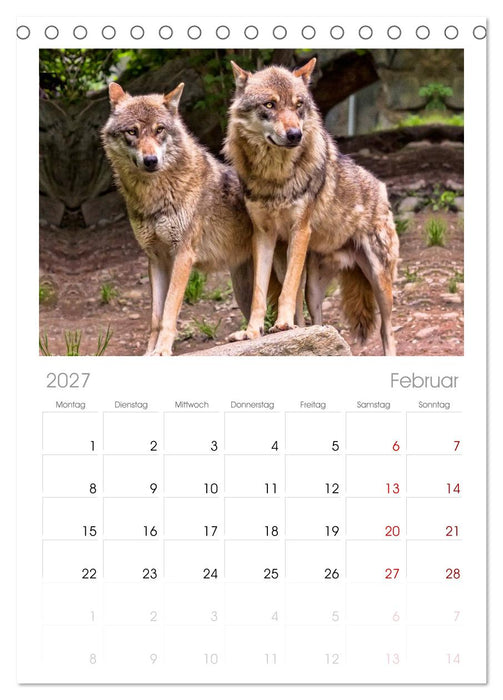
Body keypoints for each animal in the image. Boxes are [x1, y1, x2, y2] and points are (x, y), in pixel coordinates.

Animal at [102, 82, 254, 356]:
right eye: (132, 131)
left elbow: (169, 311)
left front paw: (162, 350)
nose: (151, 160)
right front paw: (149, 353)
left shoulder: (183, 255)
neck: (153, 196)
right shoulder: (156, 259)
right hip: (241, 288)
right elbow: (155, 317)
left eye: (159, 130)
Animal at [224, 58, 399, 355]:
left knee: (387, 331)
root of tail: (380, 187)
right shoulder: (263, 236)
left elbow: (286, 291)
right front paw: (252, 331)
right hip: (313, 290)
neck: (275, 178)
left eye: (298, 105)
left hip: (380, 281)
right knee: (317, 322)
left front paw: (281, 324)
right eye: (269, 105)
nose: (295, 134)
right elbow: (260, 293)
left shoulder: (300, 230)